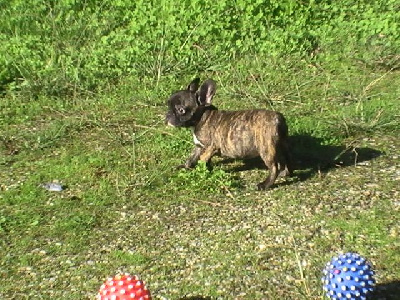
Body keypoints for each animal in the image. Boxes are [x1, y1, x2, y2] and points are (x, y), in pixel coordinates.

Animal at [166, 78, 294, 189]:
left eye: (181, 110)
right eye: (168, 105)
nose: (168, 115)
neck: (202, 117)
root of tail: (278, 118)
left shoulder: (210, 147)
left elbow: (202, 160)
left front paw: (200, 171)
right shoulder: (199, 146)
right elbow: (192, 157)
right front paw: (185, 166)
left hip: (266, 149)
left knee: (273, 167)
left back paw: (265, 184)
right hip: (282, 144)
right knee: (286, 158)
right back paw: (285, 173)